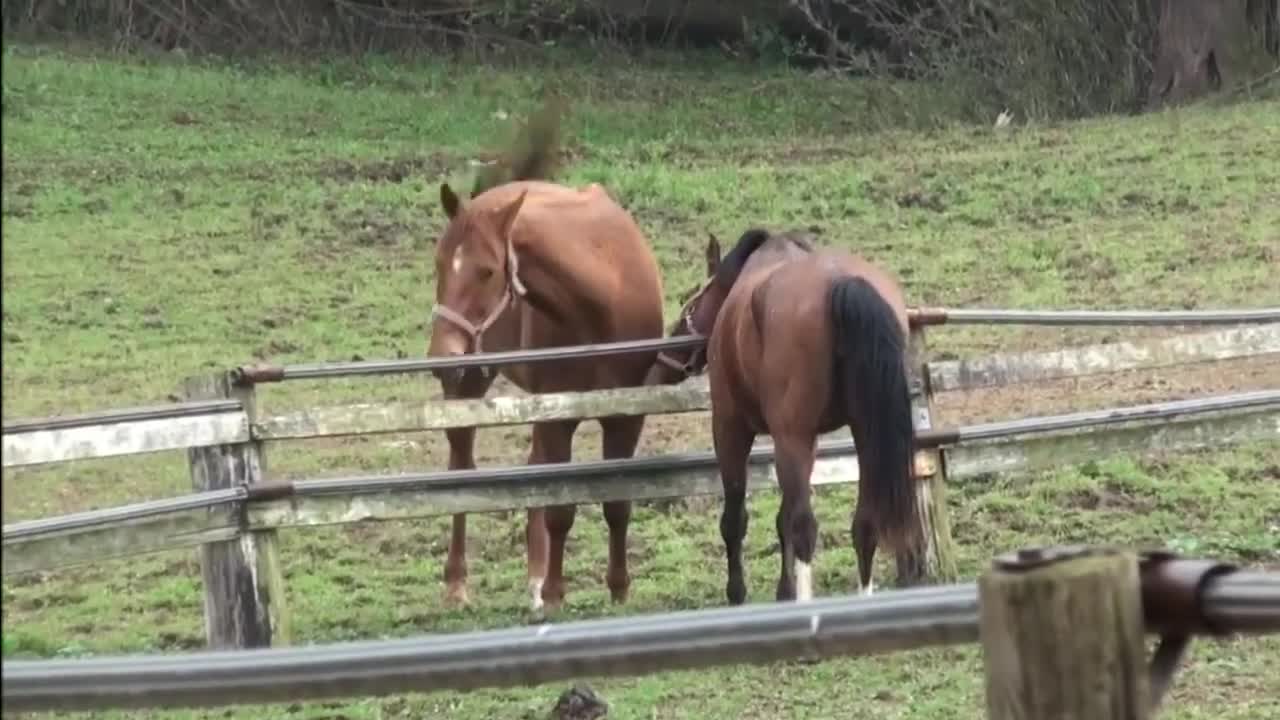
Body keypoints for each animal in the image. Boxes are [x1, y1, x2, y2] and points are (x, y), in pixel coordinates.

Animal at [430, 106, 670, 609]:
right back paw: (460, 580)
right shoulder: (559, 414)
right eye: (439, 264)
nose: (442, 356)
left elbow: (617, 501)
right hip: (474, 384)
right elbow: (561, 506)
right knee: (462, 464)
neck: (603, 298)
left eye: (487, 271)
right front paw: (558, 591)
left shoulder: (626, 415)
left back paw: (535, 576)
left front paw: (618, 588)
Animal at [650, 226, 921, 602]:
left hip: (790, 437)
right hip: (865, 435)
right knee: (864, 526)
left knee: (805, 527)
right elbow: (782, 519)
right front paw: (783, 591)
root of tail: (843, 283)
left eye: (691, 303)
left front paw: (738, 593)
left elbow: (736, 520)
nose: (661, 365)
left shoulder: (731, 428)